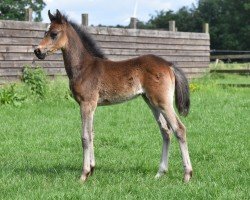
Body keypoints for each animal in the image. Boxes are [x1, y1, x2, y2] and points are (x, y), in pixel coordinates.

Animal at [34, 10, 192, 183]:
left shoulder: (86, 103)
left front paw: (83, 174)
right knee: (165, 131)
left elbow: (85, 136)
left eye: (54, 34)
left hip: (163, 102)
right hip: (151, 102)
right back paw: (160, 173)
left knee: (179, 129)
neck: (84, 67)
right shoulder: (92, 106)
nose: (37, 51)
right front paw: (92, 169)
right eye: (45, 32)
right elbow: (92, 133)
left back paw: (187, 174)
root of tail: (169, 65)